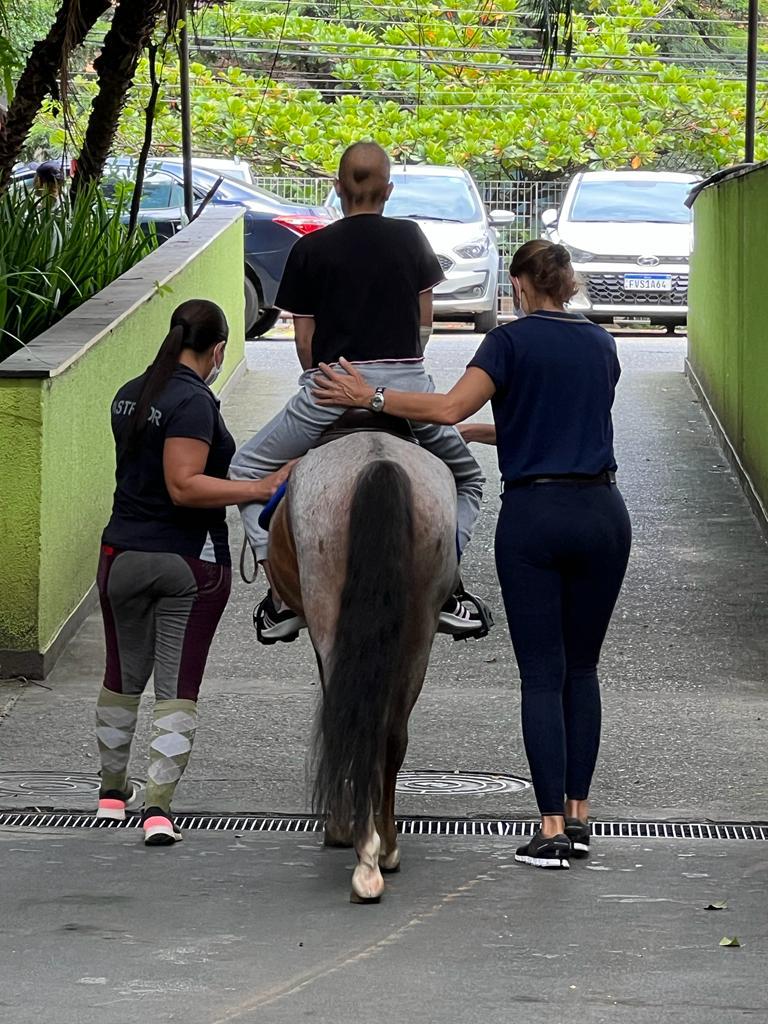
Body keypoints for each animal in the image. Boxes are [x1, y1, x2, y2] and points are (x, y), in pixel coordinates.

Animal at [268, 423, 460, 905]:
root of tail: (378, 462)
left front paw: (337, 826)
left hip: (328, 612)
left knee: (349, 722)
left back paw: (365, 855)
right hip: (418, 630)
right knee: (390, 734)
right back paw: (384, 850)